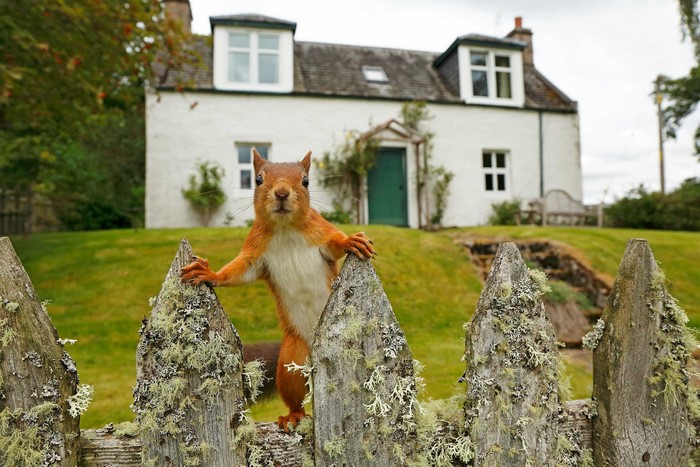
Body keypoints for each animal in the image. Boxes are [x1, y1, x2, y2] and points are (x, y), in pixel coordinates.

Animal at [180, 149, 375, 431]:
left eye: (306, 181)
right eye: (258, 179)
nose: (282, 193)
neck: (285, 228)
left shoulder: (321, 233)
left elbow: (335, 243)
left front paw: (351, 240)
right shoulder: (255, 254)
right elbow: (238, 272)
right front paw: (209, 274)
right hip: (292, 360)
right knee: (296, 395)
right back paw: (294, 415)